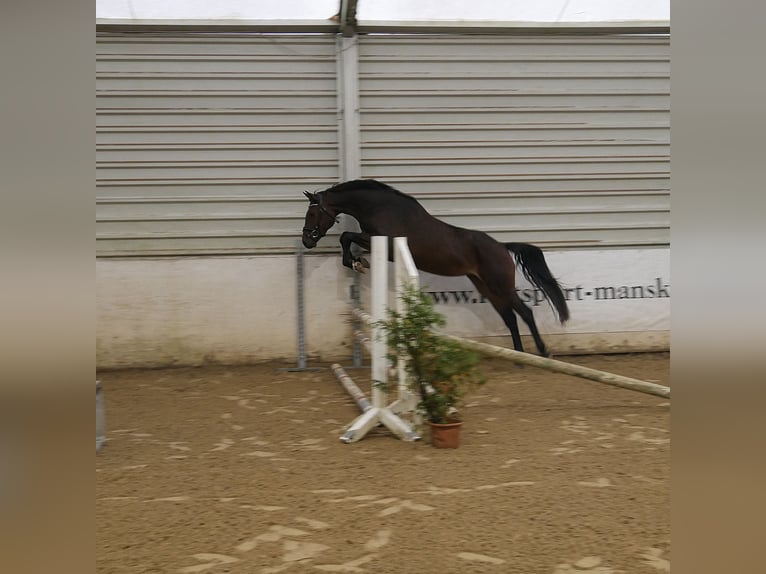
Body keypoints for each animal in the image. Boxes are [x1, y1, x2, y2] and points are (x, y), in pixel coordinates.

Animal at [300, 180, 568, 360]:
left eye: (312, 212)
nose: (306, 241)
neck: (381, 208)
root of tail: (502, 247)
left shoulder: (386, 244)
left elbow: (346, 235)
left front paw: (356, 263)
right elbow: (347, 238)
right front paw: (356, 262)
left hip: (500, 285)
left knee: (525, 313)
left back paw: (542, 352)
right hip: (486, 287)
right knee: (510, 317)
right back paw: (519, 357)